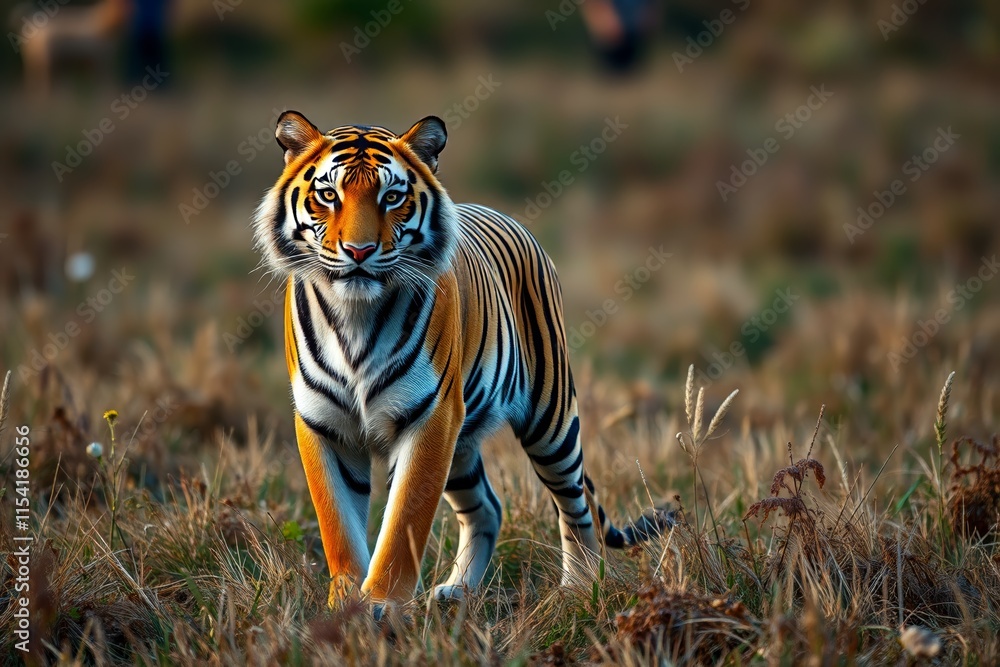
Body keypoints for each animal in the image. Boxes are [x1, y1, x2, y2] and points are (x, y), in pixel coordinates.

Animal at [253, 111, 665, 614]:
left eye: (392, 197)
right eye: (329, 195)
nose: (359, 252)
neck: (356, 313)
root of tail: (507, 217)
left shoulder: (430, 418)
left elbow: (403, 524)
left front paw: (380, 605)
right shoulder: (323, 424)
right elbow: (339, 529)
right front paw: (345, 609)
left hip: (549, 420)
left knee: (575, 500)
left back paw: (579, 587)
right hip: (464, 442)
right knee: (486, 507)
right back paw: (458, 591)